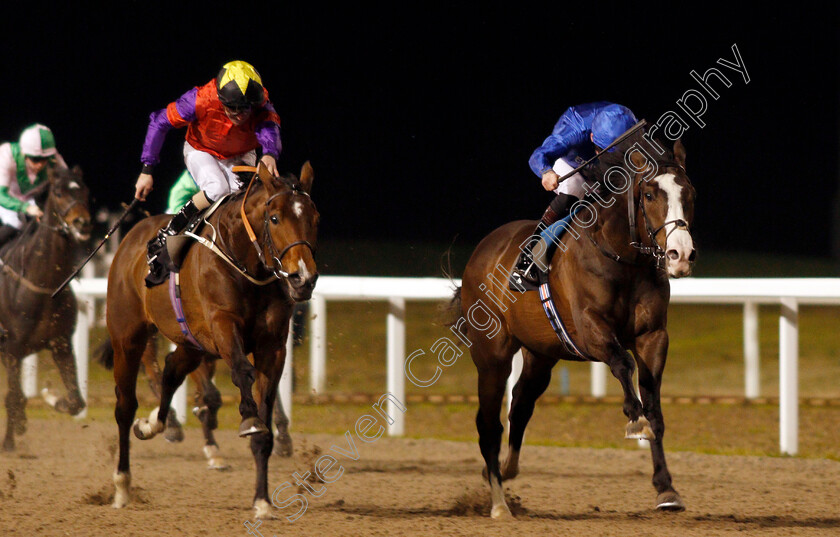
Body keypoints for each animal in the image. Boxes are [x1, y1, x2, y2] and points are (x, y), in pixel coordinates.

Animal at [0, 165, 92, 450]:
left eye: (85, 191)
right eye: (59, 192)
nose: (82, 222)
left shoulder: (61, 344)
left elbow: (76, 402)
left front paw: (53, 399)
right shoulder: (11, 350)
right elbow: (14, 396)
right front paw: (10, 440)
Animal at [110, 161, 320, 516]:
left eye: (314, 217)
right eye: (275, 218)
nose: (303, 278)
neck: (248, 264)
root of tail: (133, 237)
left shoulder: (273, 347)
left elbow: (265, 418)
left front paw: (262, 501)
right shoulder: (222, 325)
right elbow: (241, 372)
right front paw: (248, 418)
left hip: (192, 342)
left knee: (171, 371)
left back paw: (153, 424)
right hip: (128, 336)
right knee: (125, 405)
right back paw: (122, 486)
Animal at [450, 135, 700, 520]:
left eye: (690, 193)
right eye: (649, 194)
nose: (681, 255)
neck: (623, 258)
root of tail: (484, 249)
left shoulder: (653, 336)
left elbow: (655, 409)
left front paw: (666, 489)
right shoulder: (589, 329)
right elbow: (622, 364)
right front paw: (634, 417)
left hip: (540, 355)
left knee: (521, 404)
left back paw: (507, 470)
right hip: (492, 355)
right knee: (489, 423)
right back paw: (499, 503)